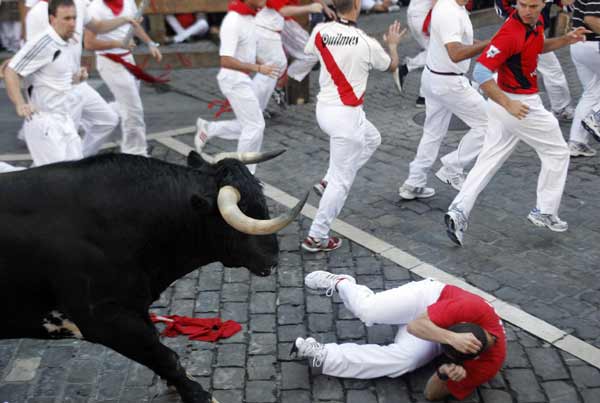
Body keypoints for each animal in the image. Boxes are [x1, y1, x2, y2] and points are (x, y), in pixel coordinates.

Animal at [0, 152, 308, 403]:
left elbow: (160, 350)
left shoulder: (135, 307)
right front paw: (197, 394)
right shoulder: (103, 320)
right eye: (246, 214)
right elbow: (166, 357)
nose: (273, 258)